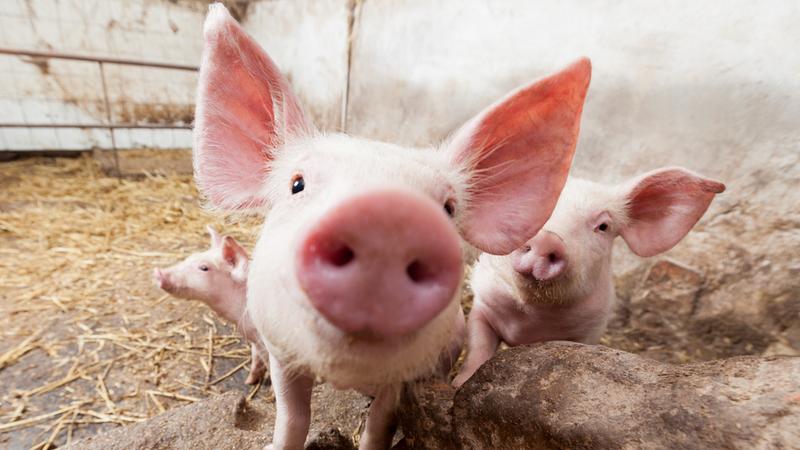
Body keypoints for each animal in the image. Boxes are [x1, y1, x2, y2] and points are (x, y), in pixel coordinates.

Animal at [153, 225, 267, 385]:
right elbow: (256, 358)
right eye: (190, 257)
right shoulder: (256, 340)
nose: (158, 272)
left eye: (204, 268)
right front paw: (249, 382)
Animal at [193, 5, 591, 448]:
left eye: (448, 208)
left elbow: (380, 421)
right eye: (297, 184)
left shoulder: (407, 375)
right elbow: (292, 416)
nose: (388, 216)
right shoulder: (279, 350)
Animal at [453, 168, 725, 387]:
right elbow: (478, 347)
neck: (530, 318)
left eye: (603, 227)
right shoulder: (483, 305)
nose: (548, 239)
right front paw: (459, 383)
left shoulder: (591, 329)